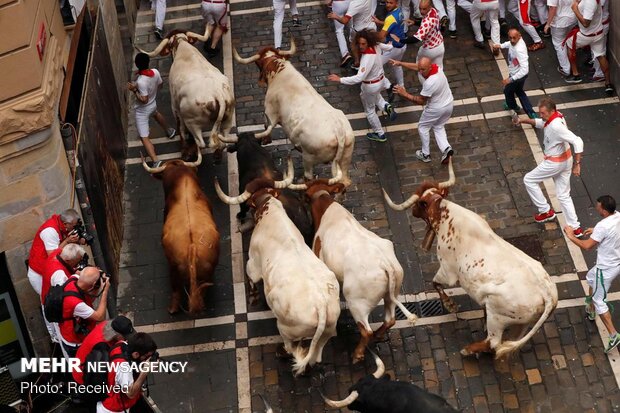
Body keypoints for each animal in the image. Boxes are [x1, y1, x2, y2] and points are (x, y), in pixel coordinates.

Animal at [216, 159, 342, 374]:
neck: (270, 208)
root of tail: (321, 308)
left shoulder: (253, 264)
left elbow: (251, 279)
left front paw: (253, 297)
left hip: (285, 328)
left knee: (290, 346)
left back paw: (281, 352)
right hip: (327, 332)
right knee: (314, 355)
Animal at [231, 40, 354, 187]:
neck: (279, 69)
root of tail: (339, 131)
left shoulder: (269, 111)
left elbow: (267, 125)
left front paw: (266, 140)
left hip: (308, 158)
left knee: (309, 177)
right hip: (345, 159)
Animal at [290, 179, 416, 362]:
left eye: (304, 196)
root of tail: (385, 264)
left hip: (357, 303)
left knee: (366, 330)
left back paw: (357, 354)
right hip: (392, 294)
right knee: (390, 320)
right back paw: (378, 335)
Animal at [382, 159, 556, 358]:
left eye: (419, 203)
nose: (413, 212)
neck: (444, 213)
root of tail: (547, 294)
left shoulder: (447, 270)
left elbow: (436, 283)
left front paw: (450, 305)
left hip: (497, 315)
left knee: (493, 343)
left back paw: (468, 350)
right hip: (522, 323)